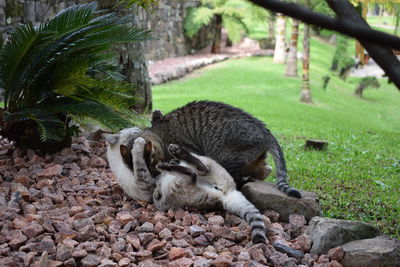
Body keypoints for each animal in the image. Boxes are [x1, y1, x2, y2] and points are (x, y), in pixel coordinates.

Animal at [121, 101, 300, 199]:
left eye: (152, 170)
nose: (153, 179)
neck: (159, 132)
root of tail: (265, 131)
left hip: (225, 156)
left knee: (237, 180)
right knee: (264, 169)